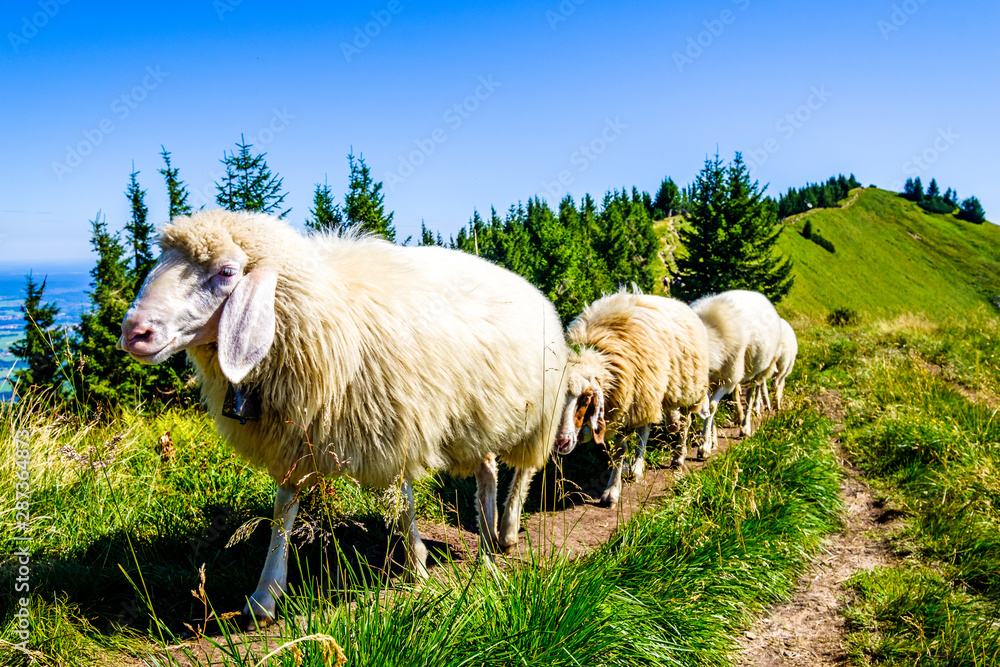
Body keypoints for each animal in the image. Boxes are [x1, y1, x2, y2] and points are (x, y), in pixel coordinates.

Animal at [118, 209, 569, 624]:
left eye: (226, 272)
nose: (133, 331)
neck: (323, 312)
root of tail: (519, 279)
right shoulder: (296, 439)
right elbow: (283, 511)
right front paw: (265, 596)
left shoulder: (396, 424)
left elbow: (403, 503)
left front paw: (418, 568)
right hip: (475, 421)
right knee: (488, 470)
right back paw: (488, 540)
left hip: (536, 416)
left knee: (524, 470)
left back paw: (506, 533)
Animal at [553, 290, 710, 507]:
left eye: (586, 399)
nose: (561, 443)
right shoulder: (627, 403)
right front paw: (623, 474)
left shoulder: (626, 405)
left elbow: (620, 450)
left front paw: (611, 492)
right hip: (648, 393)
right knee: (645, 429)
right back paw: (637, 467)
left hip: (685, 386)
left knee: (685, 422)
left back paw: (678, 457)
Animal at [691, 290, 783, 454]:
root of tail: (755, 293)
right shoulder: (710, 380)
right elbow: (709, 408)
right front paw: (711, 441)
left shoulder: (726, 380)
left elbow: (712, 407)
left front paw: (704, 446)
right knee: (737, 393)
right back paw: (738, 416)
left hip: (755, 370)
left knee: (751, 394)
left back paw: (746, 426)